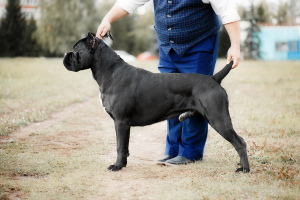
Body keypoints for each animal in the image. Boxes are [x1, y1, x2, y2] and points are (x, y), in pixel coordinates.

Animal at [62, 32, 250, 172]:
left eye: (75, 49)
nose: (65, 54)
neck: (110, 71)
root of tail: (214, 78)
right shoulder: (122, 124)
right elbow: (124, 146)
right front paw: (123, 163)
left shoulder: (121, 121)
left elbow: (119, 146)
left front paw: (117, 166)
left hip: (218, 119)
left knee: (240, 142)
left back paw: (244, 169)